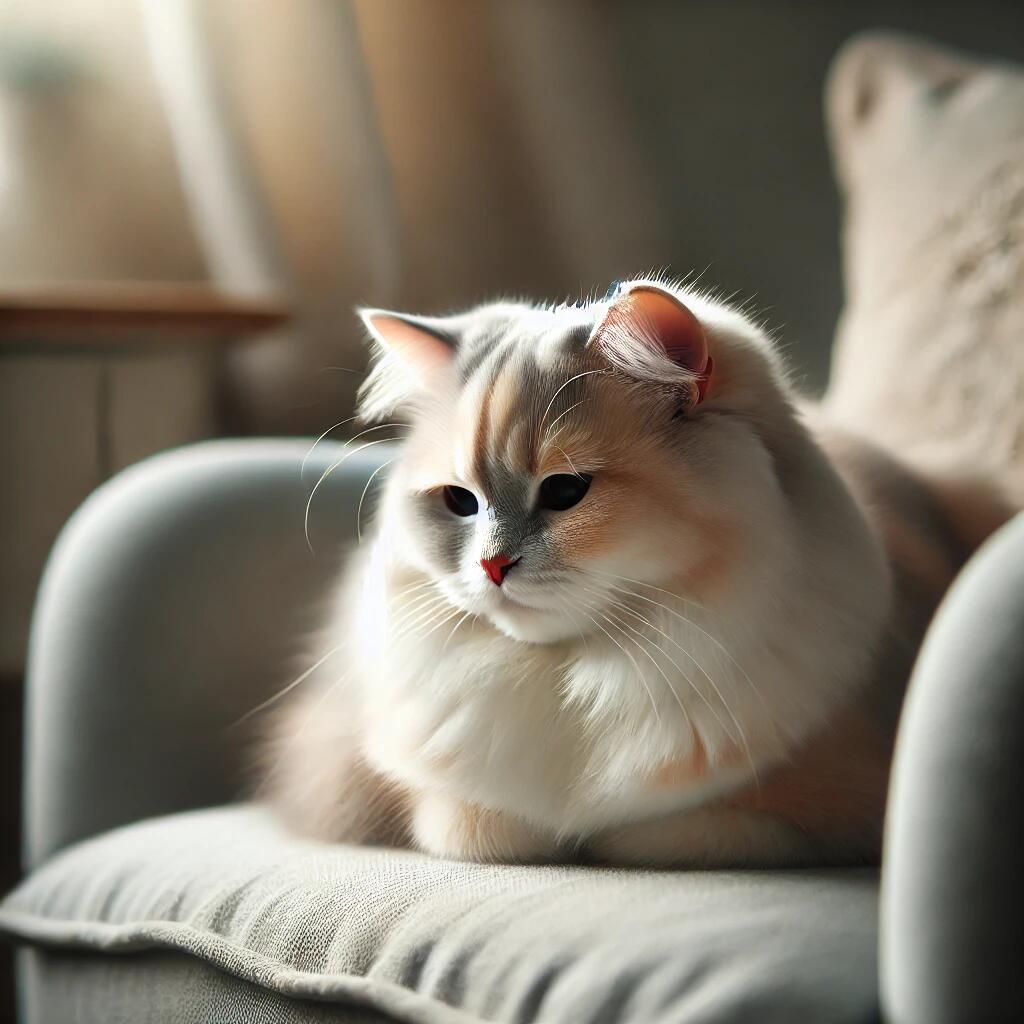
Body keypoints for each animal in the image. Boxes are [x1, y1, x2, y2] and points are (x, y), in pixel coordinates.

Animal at [260, 278, 1011, 864]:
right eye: (460, 502)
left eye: (566, 492)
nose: (491, 566)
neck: (584, 677)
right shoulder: (422, 792)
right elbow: (480, 827)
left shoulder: (823, 813)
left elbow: (659, 832)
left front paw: (594, 839)